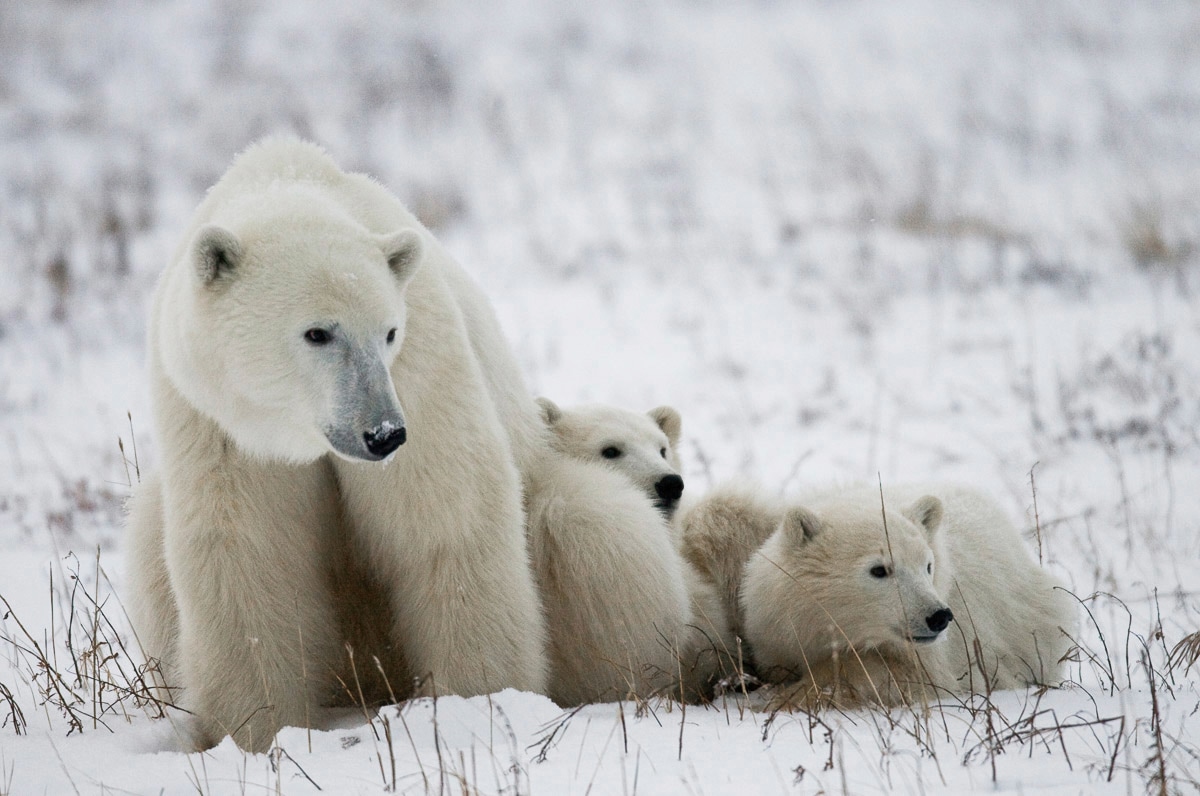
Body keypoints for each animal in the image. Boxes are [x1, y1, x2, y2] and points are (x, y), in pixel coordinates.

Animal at [126, 138, 549, 753]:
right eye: (318, 332)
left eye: (389, 332)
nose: (383, 433)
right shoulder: (219, 423)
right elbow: (247, 553)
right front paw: (259, 732)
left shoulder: (422, 367)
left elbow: (445, 517)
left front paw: (479, 702)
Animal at [729, 482, 1080, 705]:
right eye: (879, 569)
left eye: (928, 565)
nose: (939, 616)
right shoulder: (781, 634)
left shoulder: (937, 655)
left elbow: (895, 675)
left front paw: (792, 697)